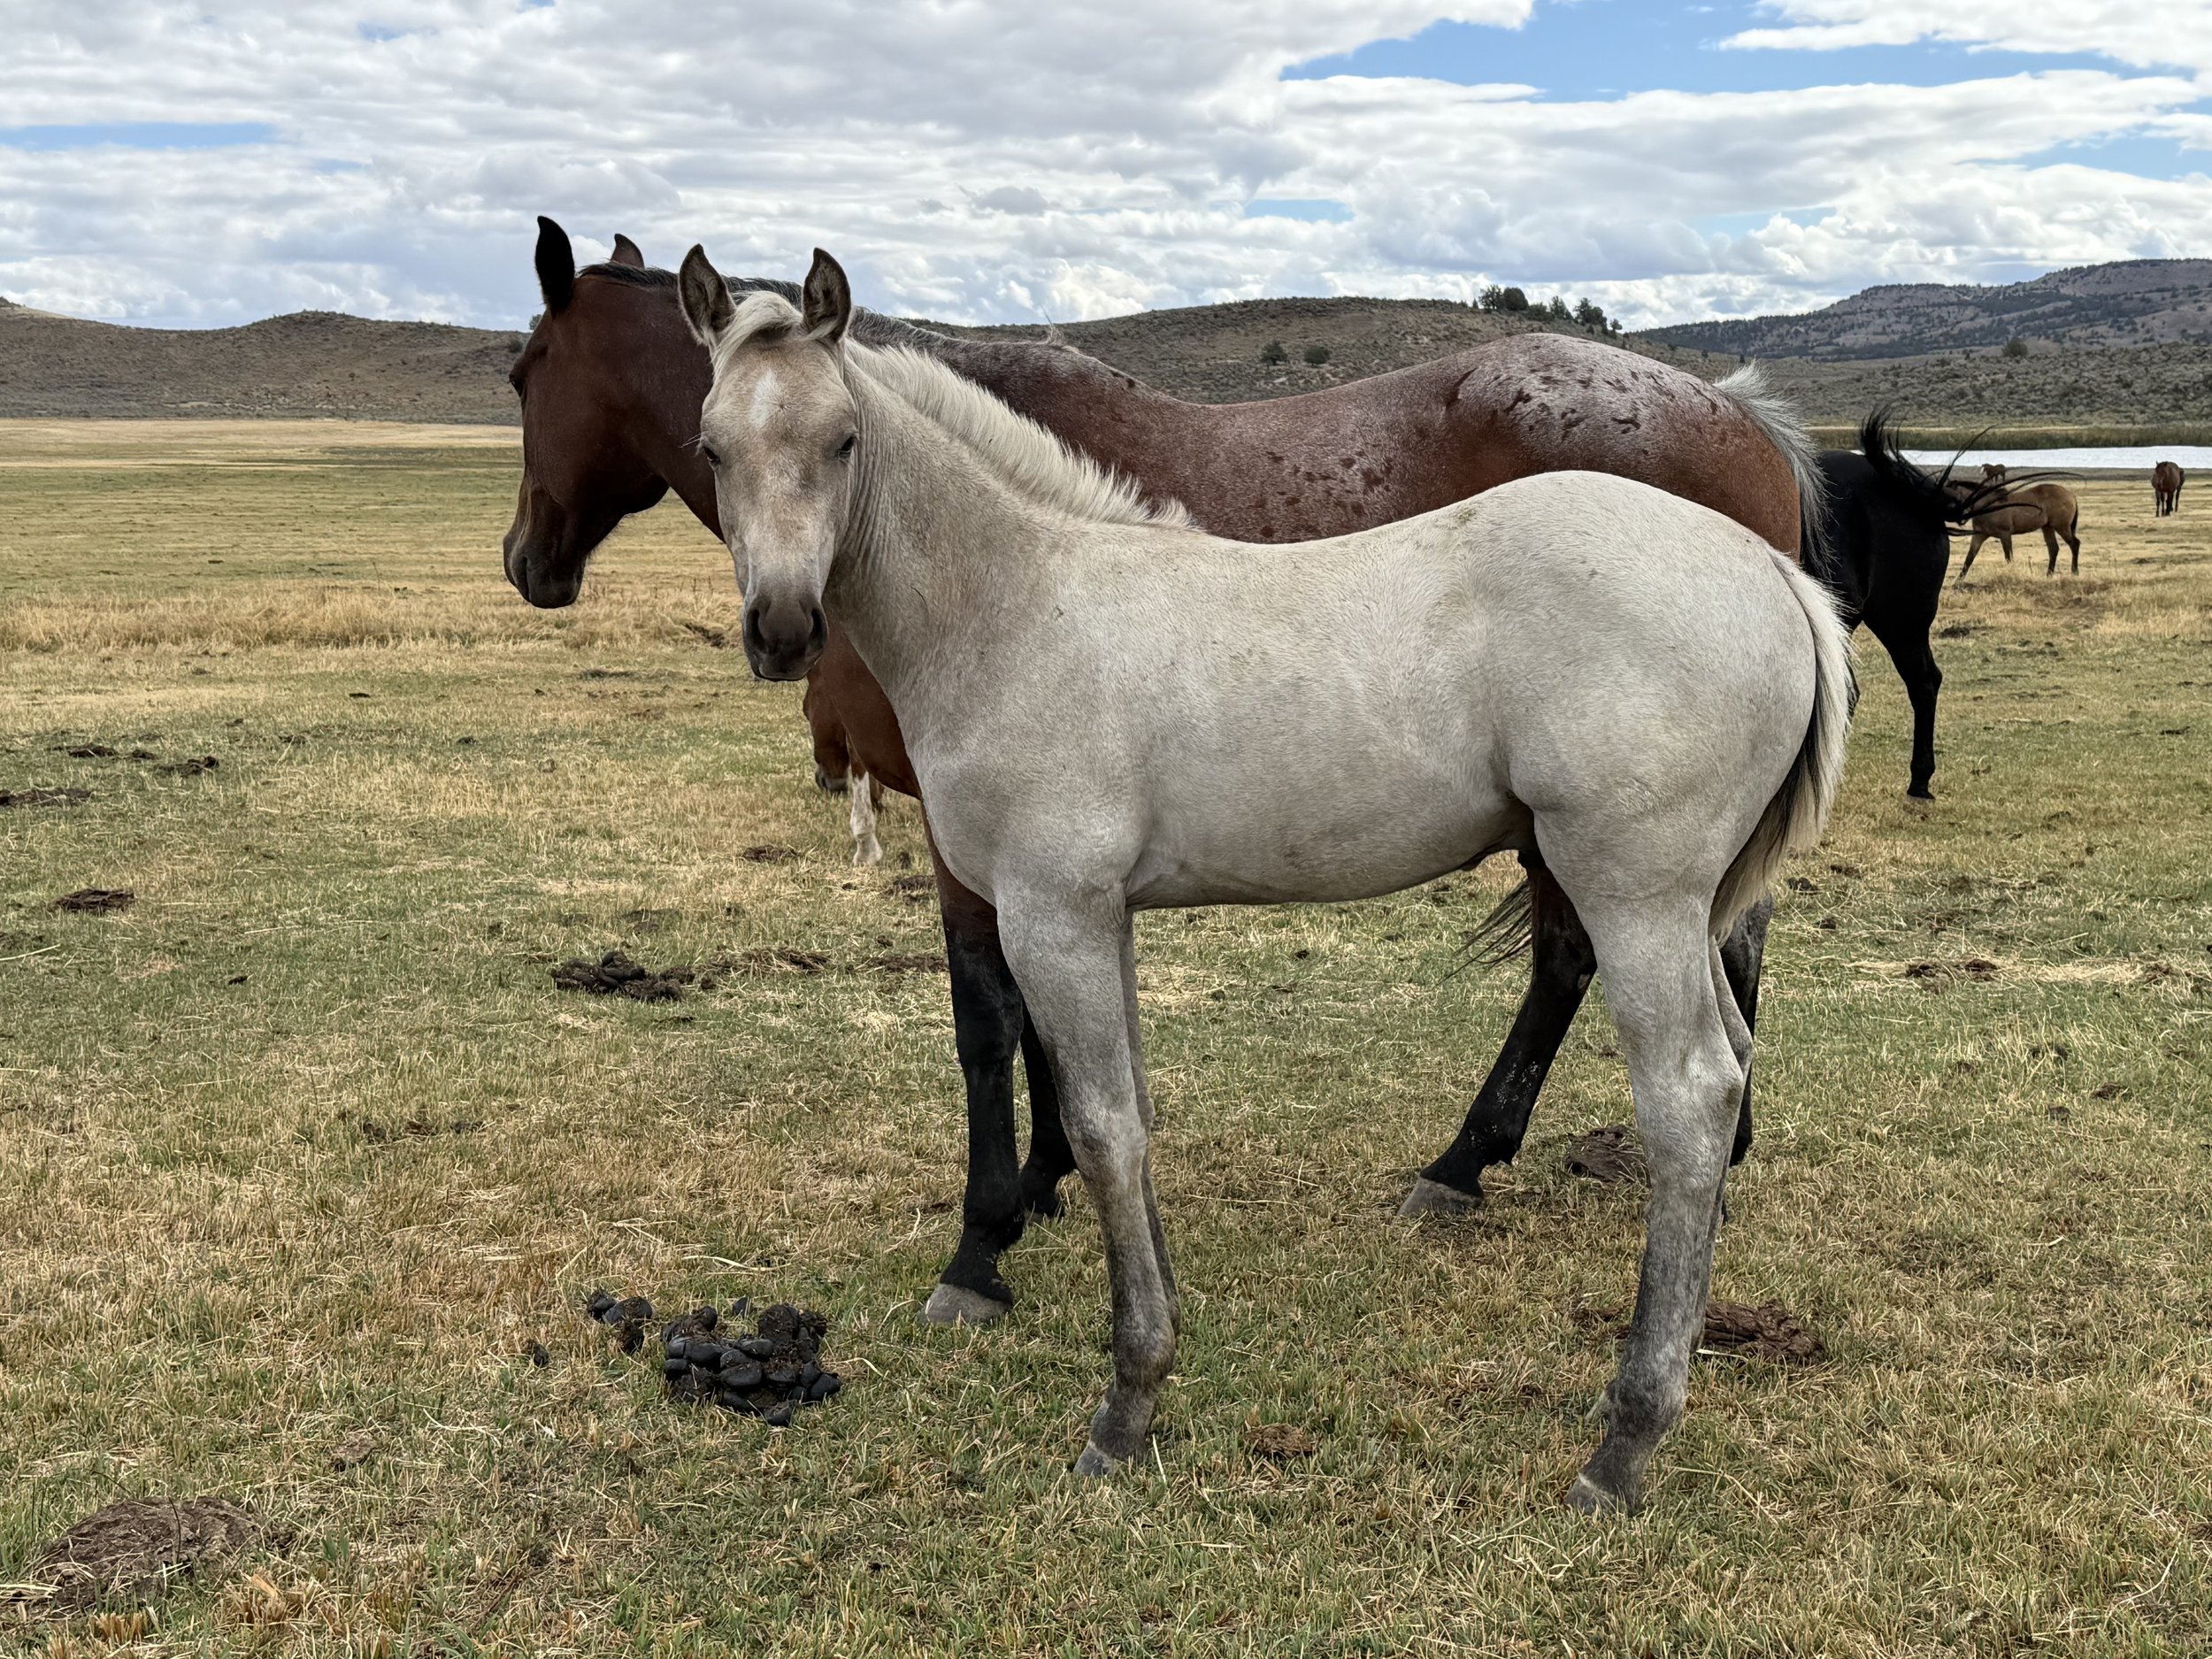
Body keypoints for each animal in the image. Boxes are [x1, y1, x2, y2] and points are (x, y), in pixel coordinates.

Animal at [681, 246, 1853, 1511]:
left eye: (844, 438)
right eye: (711, 446)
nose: (782, 628)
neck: (1022, 606)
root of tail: (1772, 571)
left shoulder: (1049, 915)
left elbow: (1100, 1129)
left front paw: (1124, 1400)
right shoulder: (1100, 919)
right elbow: (1132, 1116)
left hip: (1634, 895)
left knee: (1688, 1096)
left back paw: (1626, 1434)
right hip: (1687, 905)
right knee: (1730, 1058)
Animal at [1957, 464, 2082, 581]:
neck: (1988, 505)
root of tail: (2071, 495)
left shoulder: (2005, 535)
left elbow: (2008, 557)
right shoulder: (1980, 535)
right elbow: (1970, 557)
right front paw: (1958, 581)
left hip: (2062, 526)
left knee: (2074, 544)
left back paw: (2074, 572)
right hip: (2047, 527)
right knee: (2053, 548)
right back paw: (2048, 575)